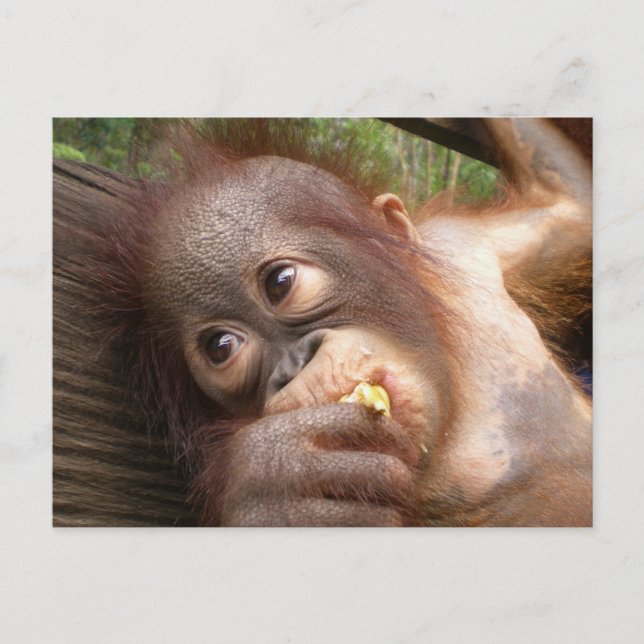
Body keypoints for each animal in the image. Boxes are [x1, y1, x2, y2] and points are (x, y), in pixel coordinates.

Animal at [53, 118, 592, 527]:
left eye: (281, 283)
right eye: (221, 347)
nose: (293, 367)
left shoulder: (463, 242)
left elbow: (570, 203)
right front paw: (280, 480)